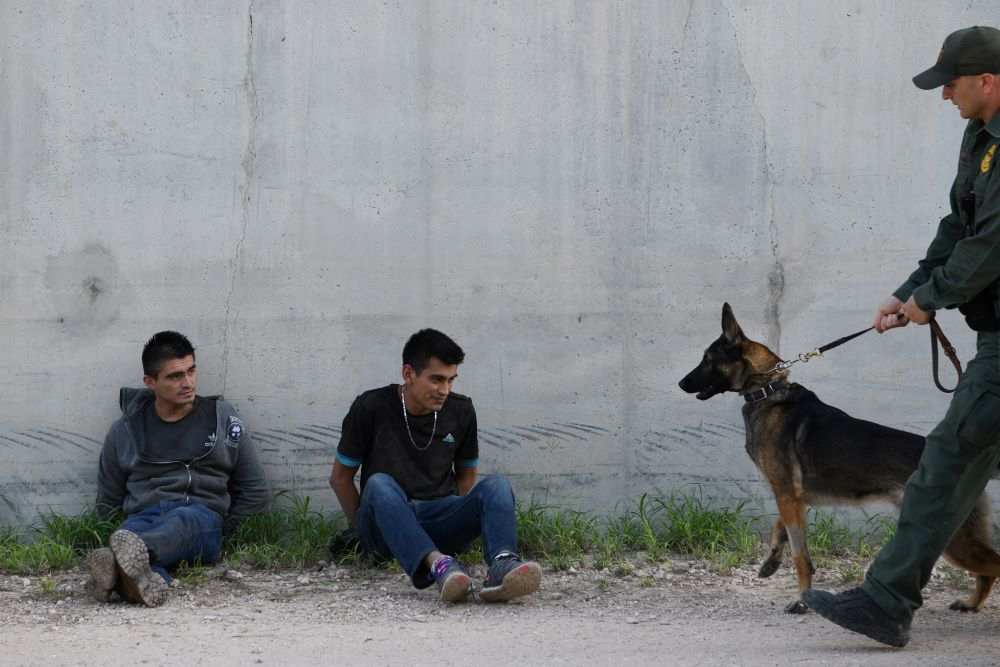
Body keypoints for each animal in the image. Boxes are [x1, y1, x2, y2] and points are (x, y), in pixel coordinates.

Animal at [676, 306, 996, 612]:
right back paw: (972, 604)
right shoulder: (791, 497)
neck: (767, 390)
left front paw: (801, 599)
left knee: (993, 565)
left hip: (953, 540)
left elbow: (800, 556)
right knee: (987, 571)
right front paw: (771, 561)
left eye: (707, 359)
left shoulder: (787, 494)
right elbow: (780, 528)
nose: (680, 383)